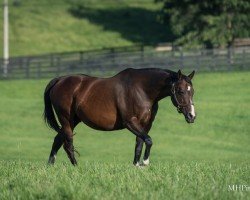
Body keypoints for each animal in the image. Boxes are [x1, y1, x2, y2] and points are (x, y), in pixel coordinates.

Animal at [44, 68, 196, 166]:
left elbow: (139, 144)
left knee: (57, 140)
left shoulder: (145, 124)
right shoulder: (130, 122)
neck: (141, 90)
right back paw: (76, 167)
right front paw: (145, 162)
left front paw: (136, 166)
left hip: (73, 120)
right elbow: (148, 140)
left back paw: (50, 166)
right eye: (181, 91)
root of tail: (60, 80)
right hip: (66, 119)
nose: (192, 115)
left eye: (192, 91)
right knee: (68, 144)